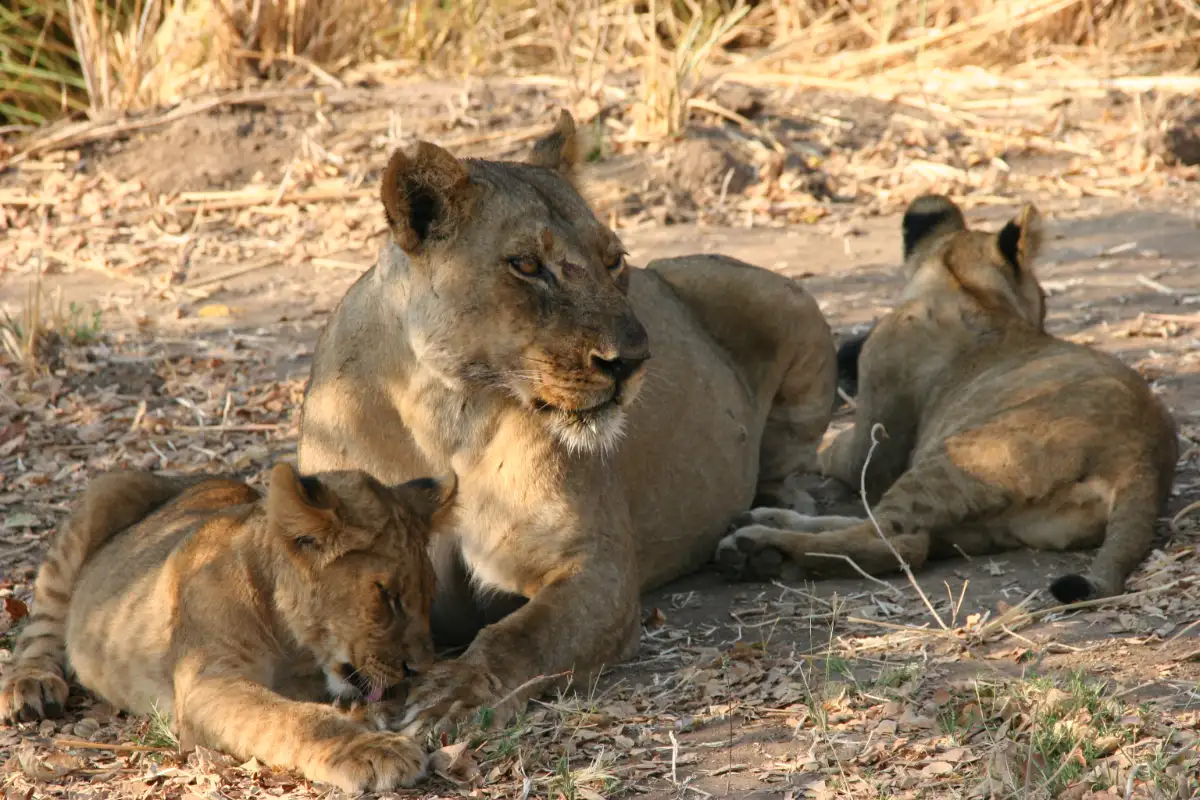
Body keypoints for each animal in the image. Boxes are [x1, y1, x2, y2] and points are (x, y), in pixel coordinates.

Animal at [0, 462, 456, 793]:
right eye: (386, 594)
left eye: (429, 594)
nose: (421, 668)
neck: (293, 646)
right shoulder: (208, 682)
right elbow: (295, 718)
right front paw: (372, 748)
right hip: (105, 494)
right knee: (40, 627)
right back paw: (31, 687)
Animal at [297, 110, 837, 730]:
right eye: (528, 265)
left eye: (614, 260)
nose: (632, 360)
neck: (447, 415)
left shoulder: (594, 567)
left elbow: (520, 637)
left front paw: (450, 695)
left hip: (782, 299)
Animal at [716, 194, 1178, 604]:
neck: (967, 289)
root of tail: (1141, 459)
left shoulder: (875, 437)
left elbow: (835, 452)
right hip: (989, 522)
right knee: (898, 534)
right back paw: (762, 526)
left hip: (954, 461)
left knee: (896, 542)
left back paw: (760, 549)